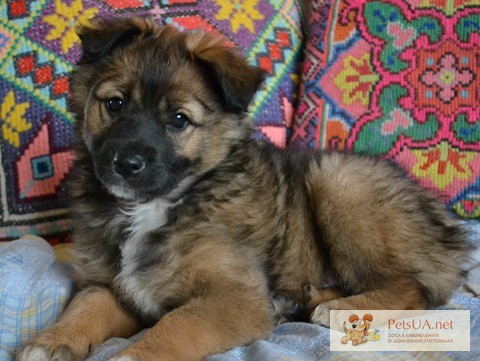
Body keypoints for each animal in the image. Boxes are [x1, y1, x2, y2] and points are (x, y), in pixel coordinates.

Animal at [17, 18, 468, 360]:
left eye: (178, 119)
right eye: (115, 103)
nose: (126, 165)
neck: (158, 206)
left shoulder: (235, 298)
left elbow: (176, 325)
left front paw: (133, 356)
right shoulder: (117, 286)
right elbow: (86, 304)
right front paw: (50, 342)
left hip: (340, 180)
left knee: (415, 288)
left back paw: (339, 308)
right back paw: (303, 298)